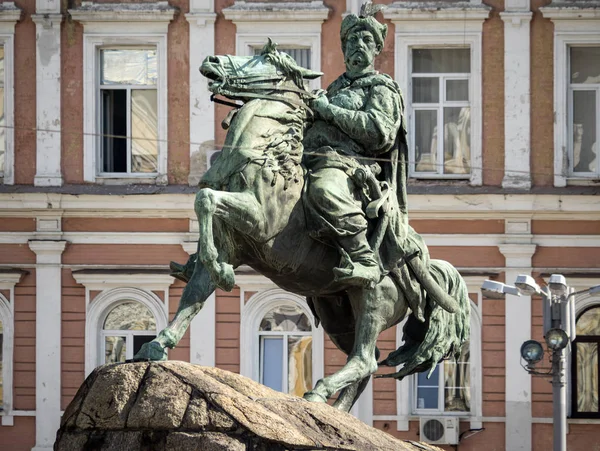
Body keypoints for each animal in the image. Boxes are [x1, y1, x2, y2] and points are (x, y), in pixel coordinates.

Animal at [135, 42, 468, 414]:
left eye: (265, 57)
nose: (212, 60)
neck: (267, 155)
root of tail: (420, 262)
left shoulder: (259, 220)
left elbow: (205, 199)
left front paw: (221, 274)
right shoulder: (232, 245)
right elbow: (193, 295)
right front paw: (157, 344)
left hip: (373, 300)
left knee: (365, 359)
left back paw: (320, 389)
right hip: (337, 312)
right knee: (366, 362)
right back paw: (335, 410)